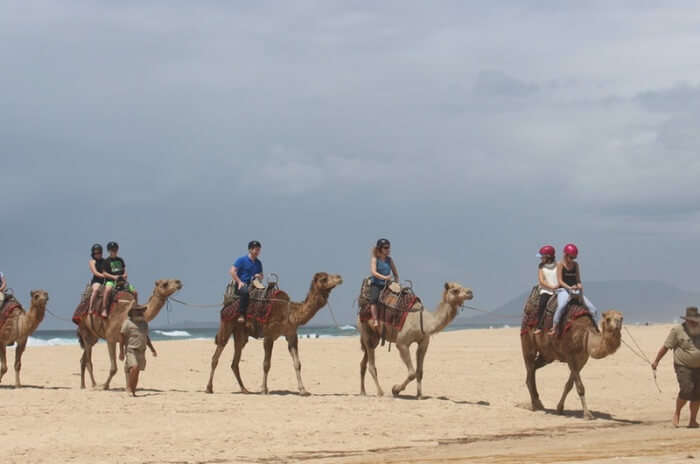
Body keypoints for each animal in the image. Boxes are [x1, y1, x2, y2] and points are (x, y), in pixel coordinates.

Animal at [204, 272, 344, 396]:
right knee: (216, 356)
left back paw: (245, 390)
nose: (339, 277)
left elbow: (297, 363)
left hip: (241, 334)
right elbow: (266, 364)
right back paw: (209, 388)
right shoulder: (269, 335)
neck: (289, 313)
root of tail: (227, 304)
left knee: (235, 362)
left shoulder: (291, 335)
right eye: (324, 278)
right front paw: (264, 389)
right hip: (227, 324)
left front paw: (303, 390)